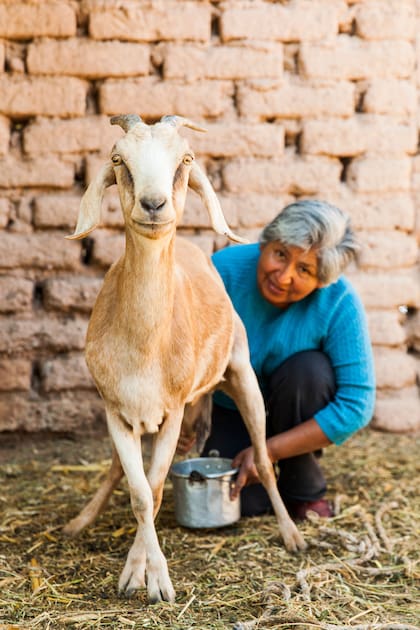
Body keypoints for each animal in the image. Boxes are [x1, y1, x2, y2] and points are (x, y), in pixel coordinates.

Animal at [64, 116, 306, 604]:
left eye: (187, 159)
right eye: (118, 159)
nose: (154, 204)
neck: (143, 348)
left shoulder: (172, 411)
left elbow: (154, 491)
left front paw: (149, 579)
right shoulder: (116, 411)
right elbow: (139, 492)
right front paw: (137, 576)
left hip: (242, 375)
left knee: (264, 460)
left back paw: (292, 535)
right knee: (118, 470)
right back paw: (81, 521)